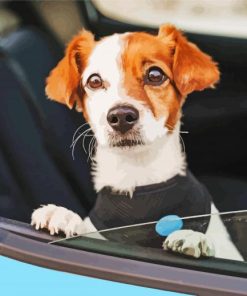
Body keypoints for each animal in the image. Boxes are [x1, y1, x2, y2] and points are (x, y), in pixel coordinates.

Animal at [30, 26, 243, 262]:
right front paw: (62, 214)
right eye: (94, 81)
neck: (139, 174)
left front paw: (192, 235)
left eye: (155, 75)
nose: (121, 116)